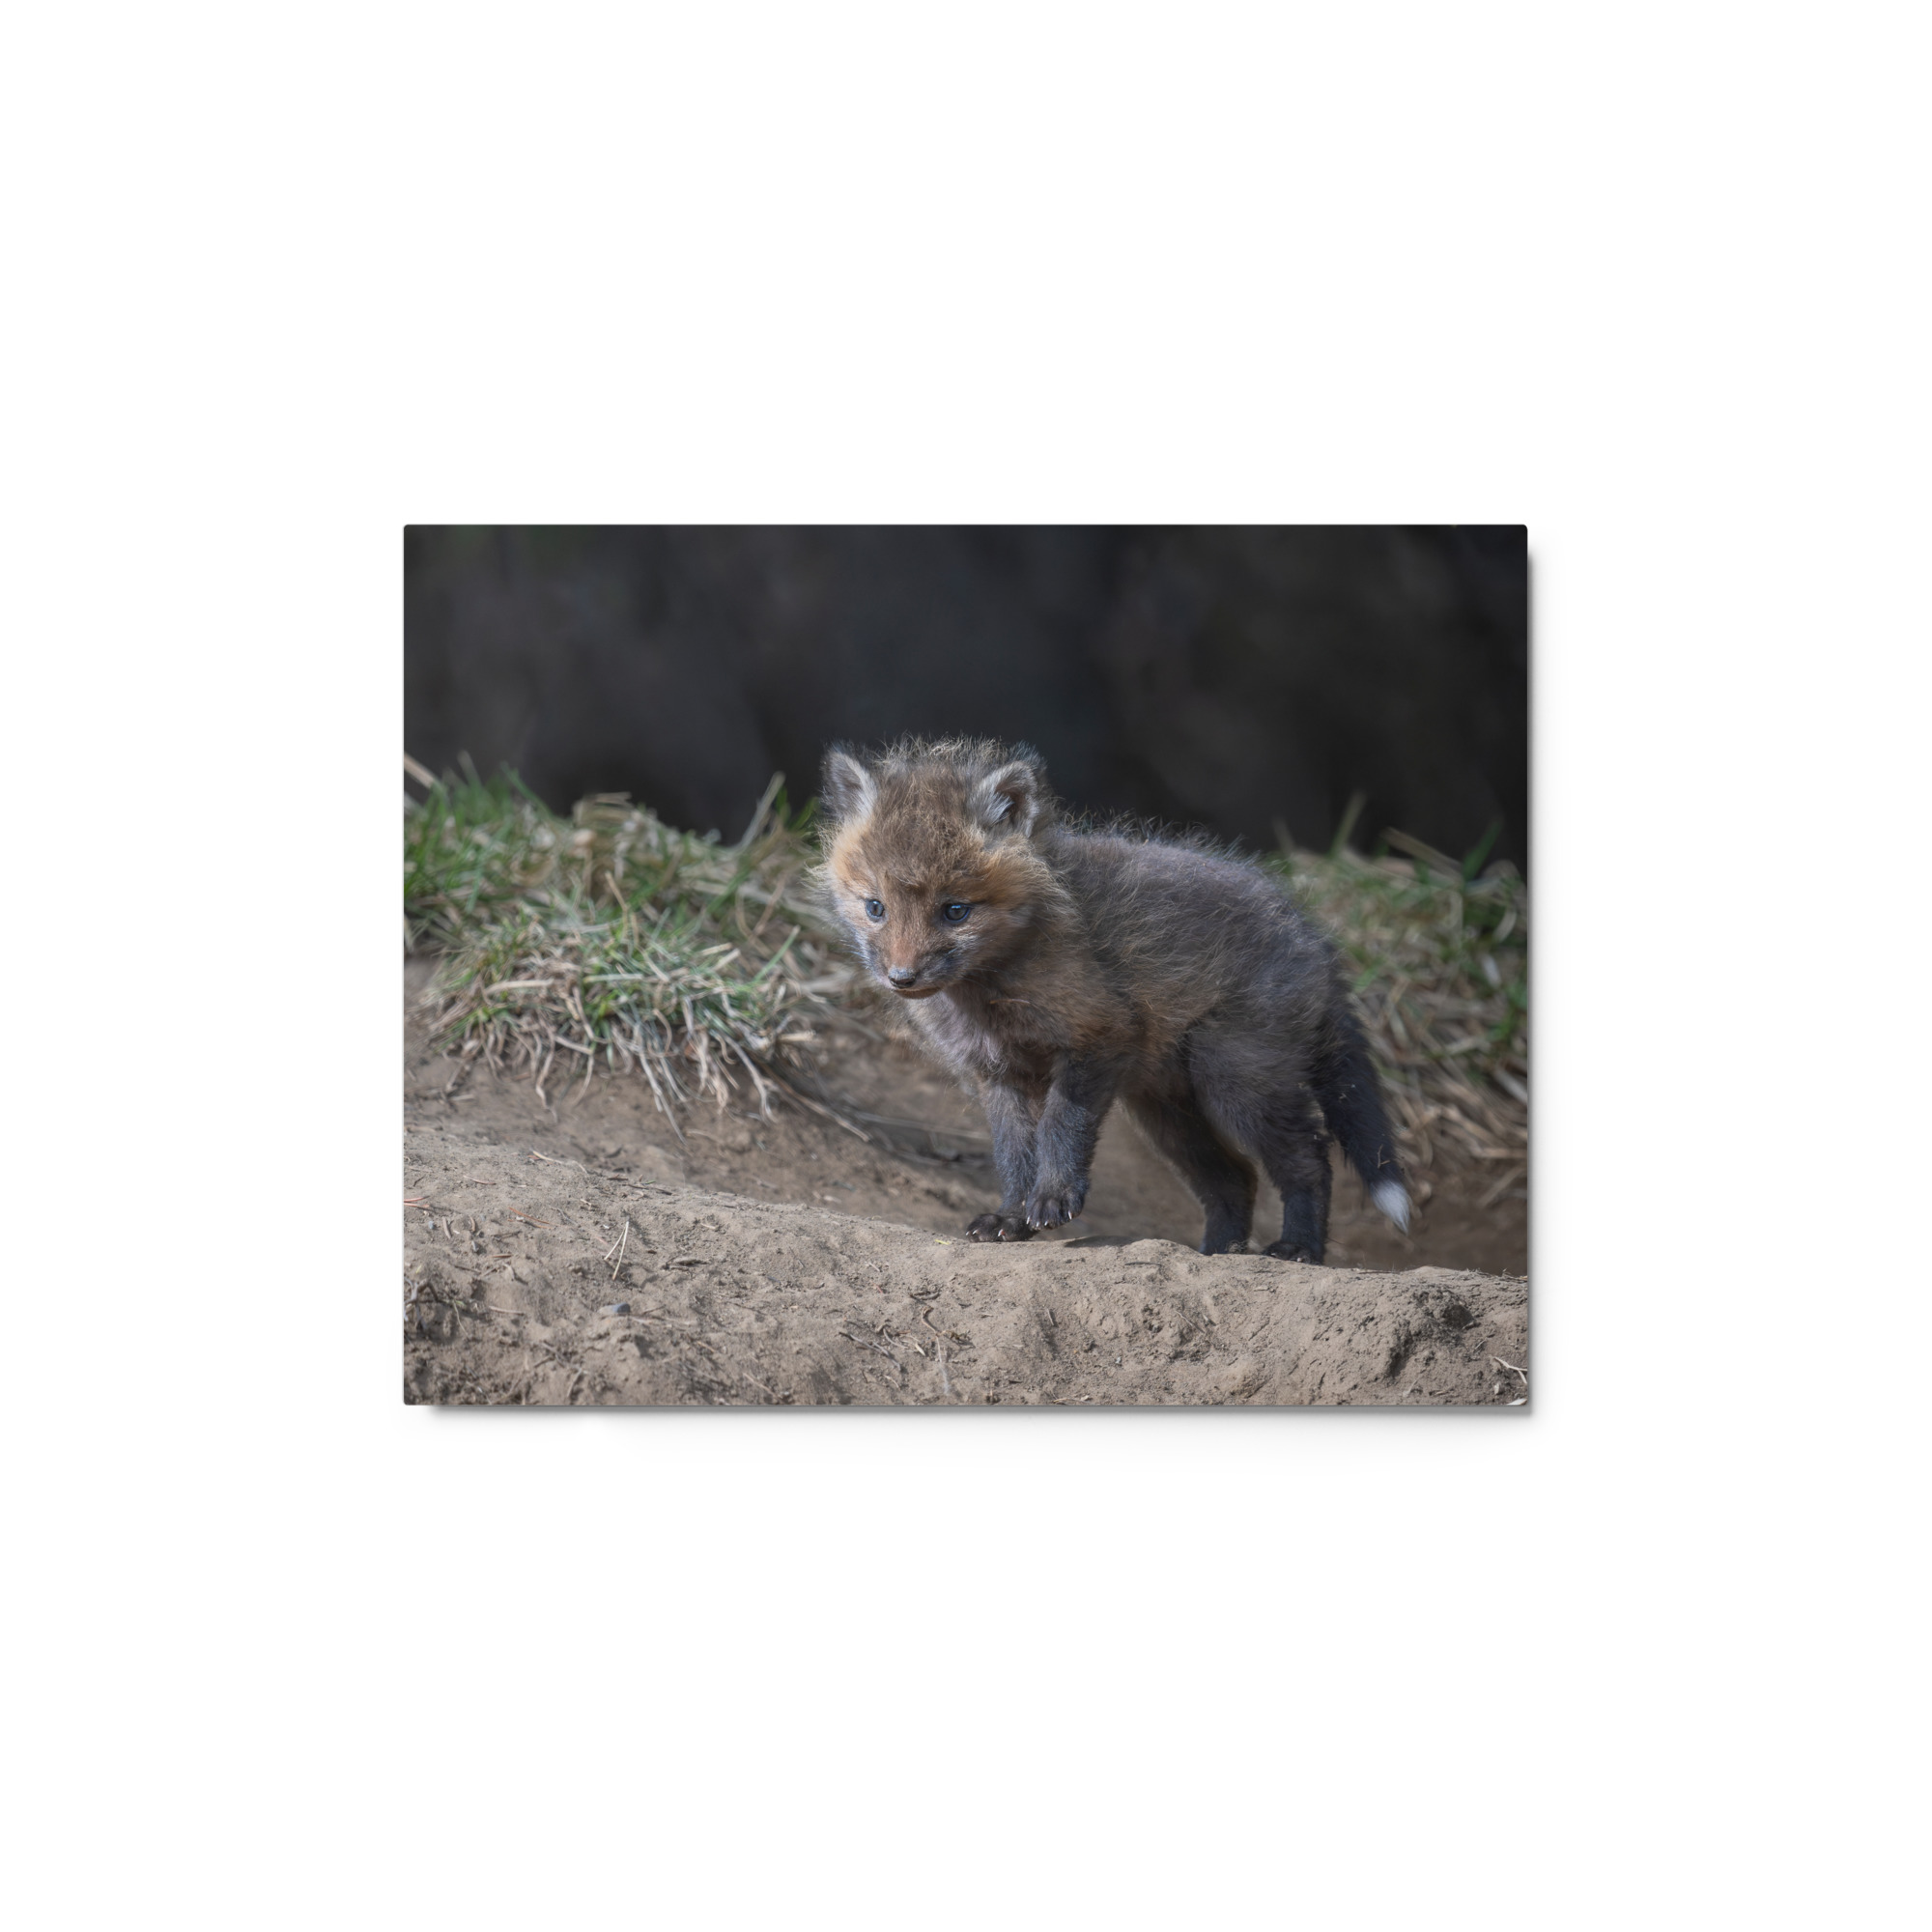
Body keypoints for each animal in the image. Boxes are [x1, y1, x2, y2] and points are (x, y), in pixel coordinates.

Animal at [816, 737, 1411, 1262]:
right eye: (875, 907)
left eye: (955, 911)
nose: (902, 977)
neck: (991, 994)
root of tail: (1315, 939)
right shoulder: (998, 1073)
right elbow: (1013, 1154)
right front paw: (1011, 1217)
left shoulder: (1098, 1036)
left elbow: (1061, 1127)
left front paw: (1053, 1198)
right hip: (1167, 1111)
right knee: (1235, 1178)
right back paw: (1217, 1253)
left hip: (1236, 1081)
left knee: (1309, 1159)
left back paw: (1299, 1249)